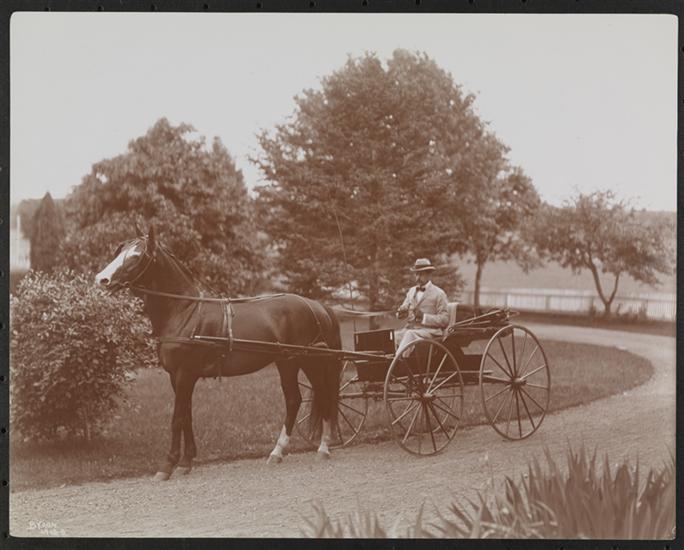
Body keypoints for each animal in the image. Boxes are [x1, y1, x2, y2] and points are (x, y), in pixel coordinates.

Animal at [95, 225, 343, 480]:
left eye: (136, 255)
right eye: (119, 250)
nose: (101, 279)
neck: (185, 311)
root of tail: (316, 306)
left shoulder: (184, 374)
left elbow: (177, 418)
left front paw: (168, 464)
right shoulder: (178, 377)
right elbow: (187, 415)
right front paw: (186, 461)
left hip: (305, 361)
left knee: (320, 396)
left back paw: (321, 447)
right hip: (287, 362)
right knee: (296, 400)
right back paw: (279, 452)